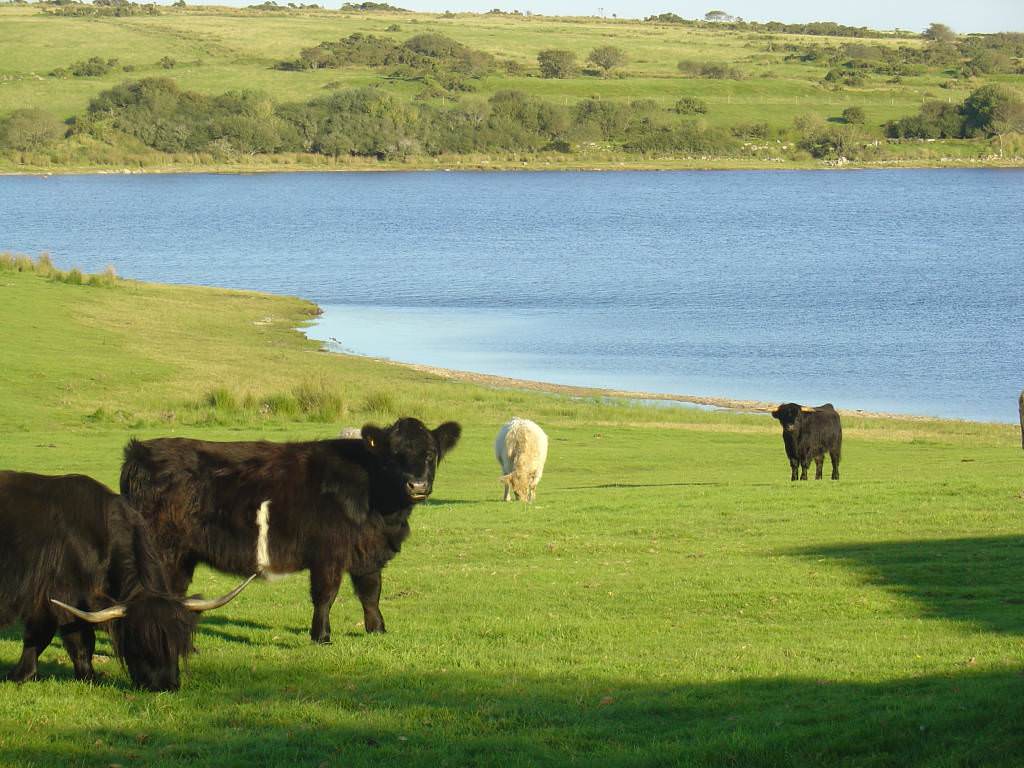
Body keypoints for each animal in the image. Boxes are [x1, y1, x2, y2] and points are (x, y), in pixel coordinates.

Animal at [0, 473, 253, 696]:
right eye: (139, 643)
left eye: (176, 644)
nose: (165, 685)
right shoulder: (65, 597)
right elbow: (80, 642)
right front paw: (89, 677)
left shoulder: (45, 601)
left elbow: (37, 636)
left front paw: (20, 674)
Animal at [117, 417, 464, 647]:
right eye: (394, 455)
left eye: (430, 454)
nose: (417, 485)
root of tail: (140, 451)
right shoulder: (328, 552)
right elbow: (325, 595)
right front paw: (321, 636)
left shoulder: (367, 551)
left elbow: (371, 592)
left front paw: (377, 629)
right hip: (161, 551)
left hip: (180, 557)